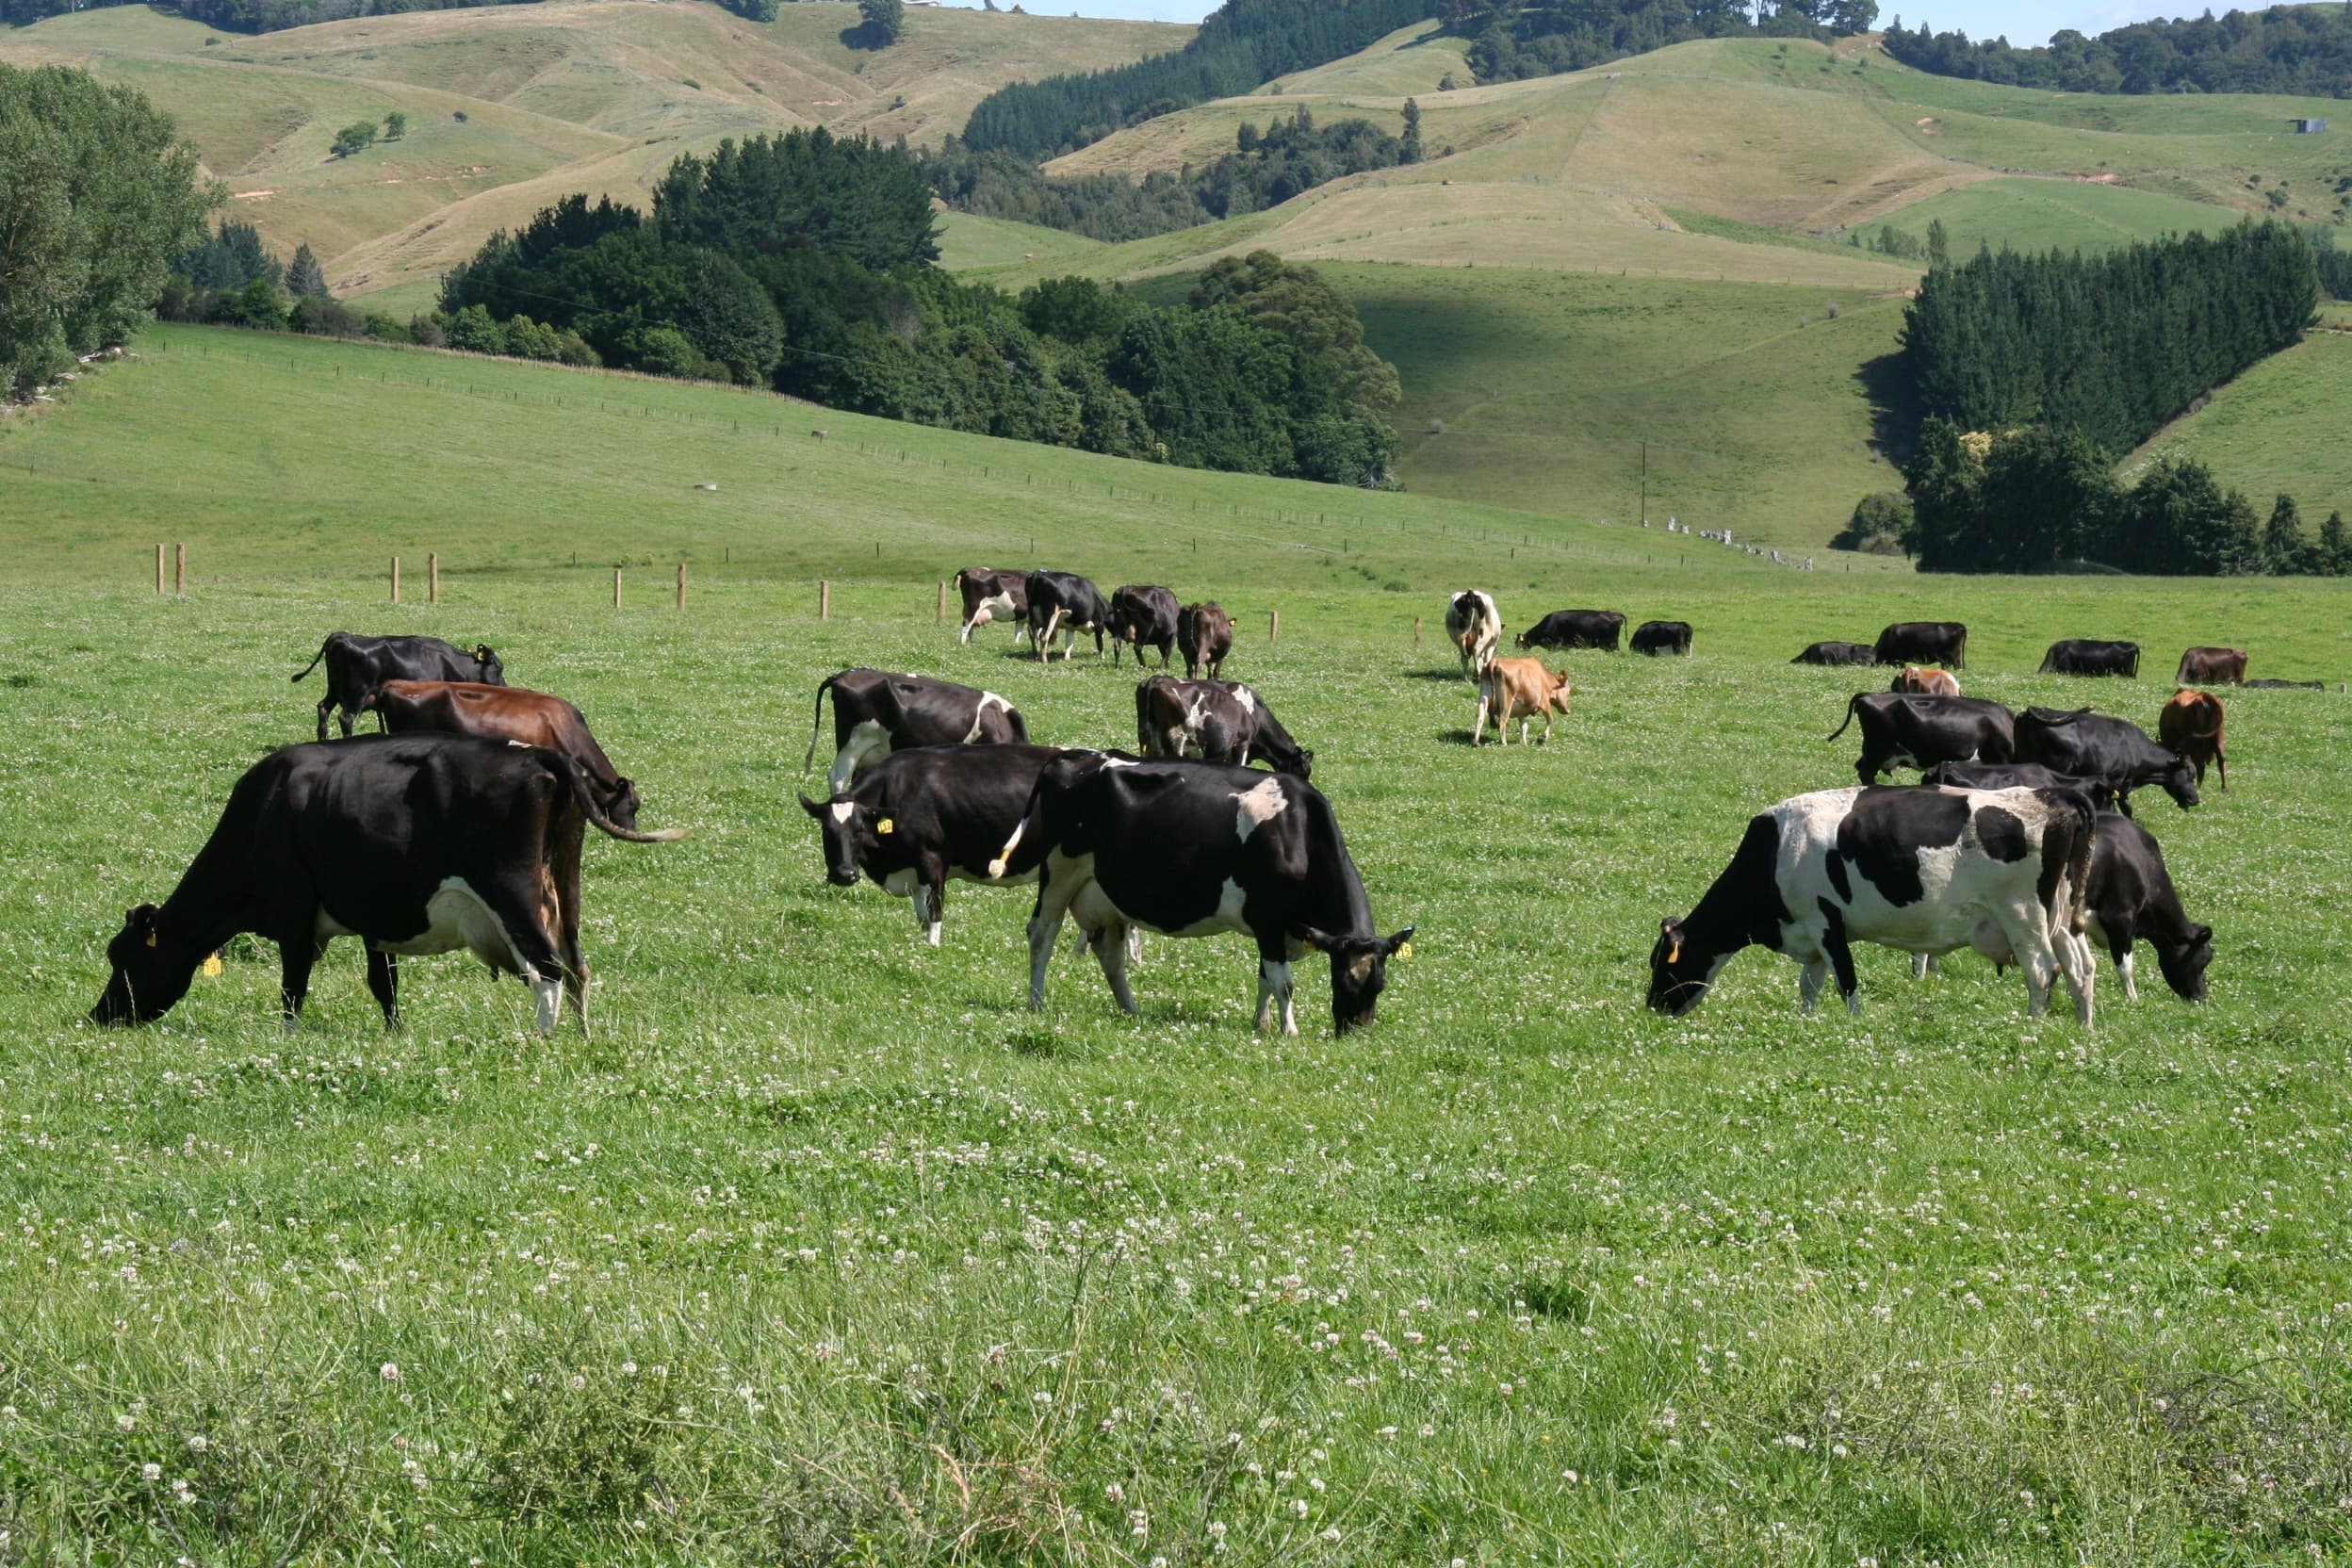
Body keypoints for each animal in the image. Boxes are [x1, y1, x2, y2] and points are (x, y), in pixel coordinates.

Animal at [87, 735, 684, 1034]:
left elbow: (292, 987)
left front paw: (286, 1041)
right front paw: (396, 1035)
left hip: (511, 893)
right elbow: (385, 985)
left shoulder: (295, 912)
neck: (265, 809)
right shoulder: (375, 919)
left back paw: (542, 1042)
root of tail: (535, 753)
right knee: (578, 967)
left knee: (549, 971)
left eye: (125, 958)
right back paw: (581, 1040)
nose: (100, 1016)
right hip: (564, 886)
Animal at [291, 633, 505, 742]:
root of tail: (342, 637)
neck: (450, 662)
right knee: (345, 718)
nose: (506, 686)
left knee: (323, 708)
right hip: (356, 694)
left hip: (334, 689)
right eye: (499, 668)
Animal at [797, 744, 1064, 946]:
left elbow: (934, 914)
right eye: (826, 830)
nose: (844, 874)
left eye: (859, 831)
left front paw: (932, 950)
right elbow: (922, 918)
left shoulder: (931, 860)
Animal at [987, 754, 1412, 1036]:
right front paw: (1288, 1032)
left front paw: (1260, 1023)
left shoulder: (1272, 930)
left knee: (1110, 954)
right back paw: (1037, 1001)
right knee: (1042, 934)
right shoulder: (1268, 920)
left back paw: (1131, 1010)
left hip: (1105, 894)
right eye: (1342, 981)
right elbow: (1284, 983)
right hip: (1059, 873)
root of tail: (1072, 758)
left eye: (1379, 985)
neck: (1297, 831)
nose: (1356, 1033)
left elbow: (1265, 978)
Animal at [1646, 784, 2094, 1023]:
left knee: (2042, 972)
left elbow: (1846, 980)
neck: (1776, 851)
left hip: (2023, 916)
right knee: (2080, 969)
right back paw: (2082, 1028)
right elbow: (1809, 985)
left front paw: (1854, 1026)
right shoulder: (1810, 933)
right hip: (2061, 921)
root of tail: (2048, 794)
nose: (1652, 1007)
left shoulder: (1825, 922)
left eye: (1663, 963)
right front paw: (1806, 1022)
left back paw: (2032, 1026)